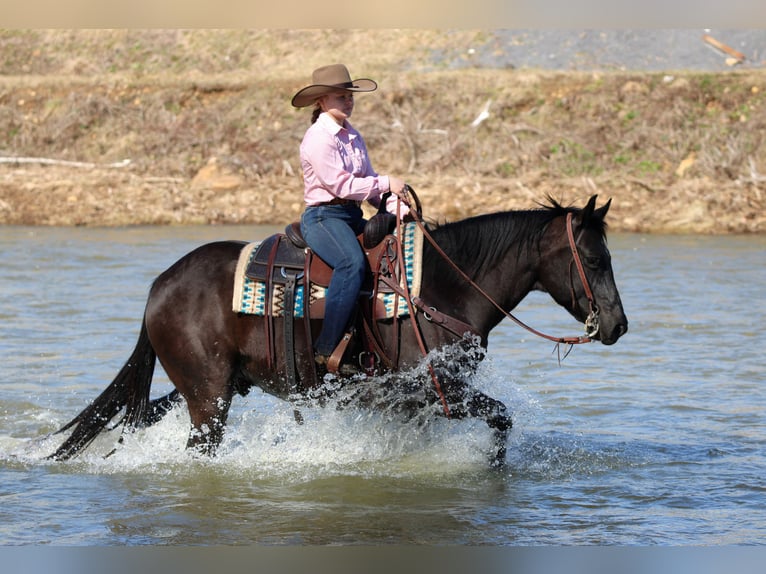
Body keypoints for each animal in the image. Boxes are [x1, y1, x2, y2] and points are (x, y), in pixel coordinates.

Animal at [48, 194, 627, 467]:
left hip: (209, 385)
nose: (619, 325)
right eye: (595, 259)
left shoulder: (415, 400)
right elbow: (502, 419)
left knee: (142, 416)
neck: (442, 287)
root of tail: (159, 286)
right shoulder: (427, 388)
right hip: (210, 397)